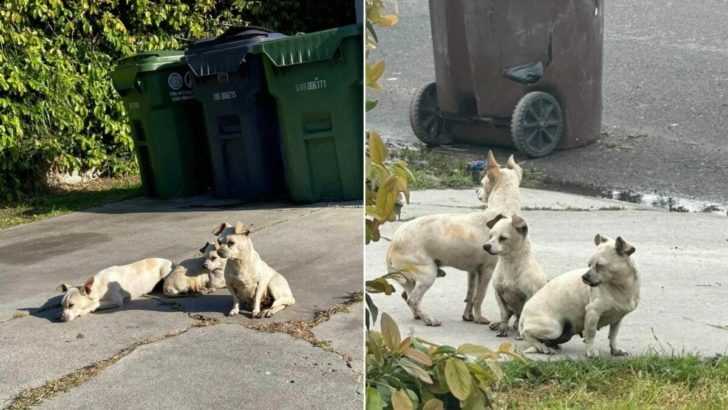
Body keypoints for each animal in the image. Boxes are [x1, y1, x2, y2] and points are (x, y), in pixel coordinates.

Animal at [386, 151, 524, 326]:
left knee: (407, 296)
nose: (476, 190)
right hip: (428, 273)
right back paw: (428, 318)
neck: (502, 210)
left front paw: (468, 316)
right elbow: (480, 297)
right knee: (412, 299)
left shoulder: (473, 272)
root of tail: (393, 243)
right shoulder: (486, 271)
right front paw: (479, 318)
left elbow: (471, 296)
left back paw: (419, 315)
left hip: (413, 278)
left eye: (482, 183)